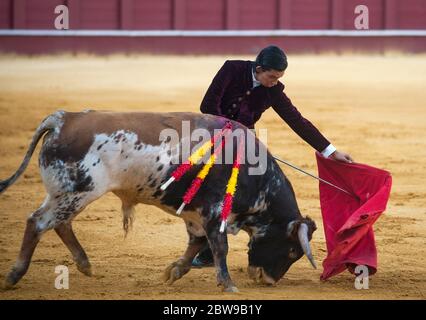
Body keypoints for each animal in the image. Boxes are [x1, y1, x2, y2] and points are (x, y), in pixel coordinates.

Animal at [0, 110, 316, 292]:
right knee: (38, 222)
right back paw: (15, 275)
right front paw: (228, 286)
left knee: (59, 224)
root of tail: (63, 118)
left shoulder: (196, 213)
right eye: (292, 251)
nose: (267, 280)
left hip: (66, 194)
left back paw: (85, 264)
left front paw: (173, 271)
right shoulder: (214, 211)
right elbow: (220, 247)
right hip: (75, 192)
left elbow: (196, 244)